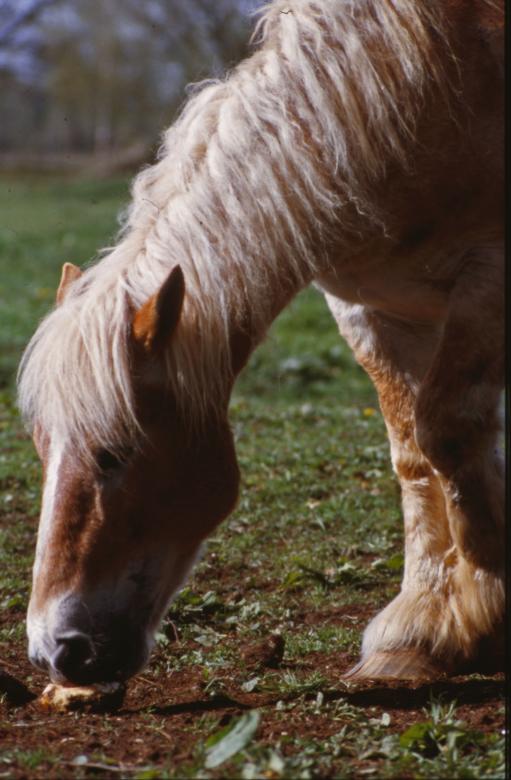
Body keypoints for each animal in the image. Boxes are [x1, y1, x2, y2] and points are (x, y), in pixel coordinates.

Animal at [17, 0, 503, 686]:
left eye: (114, 454)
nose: (56, 651)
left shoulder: (487, 280)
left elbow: (449, 435)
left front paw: (480, 609)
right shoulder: (373, 310)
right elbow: (413, 452)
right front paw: (420, 631)